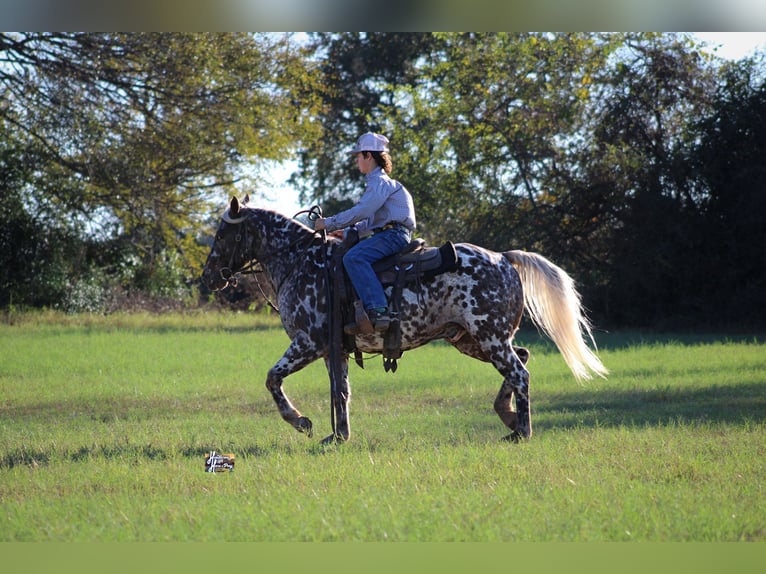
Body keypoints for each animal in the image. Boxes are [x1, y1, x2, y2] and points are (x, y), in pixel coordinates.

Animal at [201, 197, 608, 446]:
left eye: (222, 233)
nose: (208, 278)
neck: (302, 262)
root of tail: (504, 258)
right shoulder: (335, 350)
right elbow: (340, 392)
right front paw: (339, 436)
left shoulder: (308, 343)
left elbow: (273, 378)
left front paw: (301, 421)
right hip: (471, 339)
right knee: (522, 359)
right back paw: (507, 417)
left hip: (490, 338)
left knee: (520, 373)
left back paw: (522, 430)